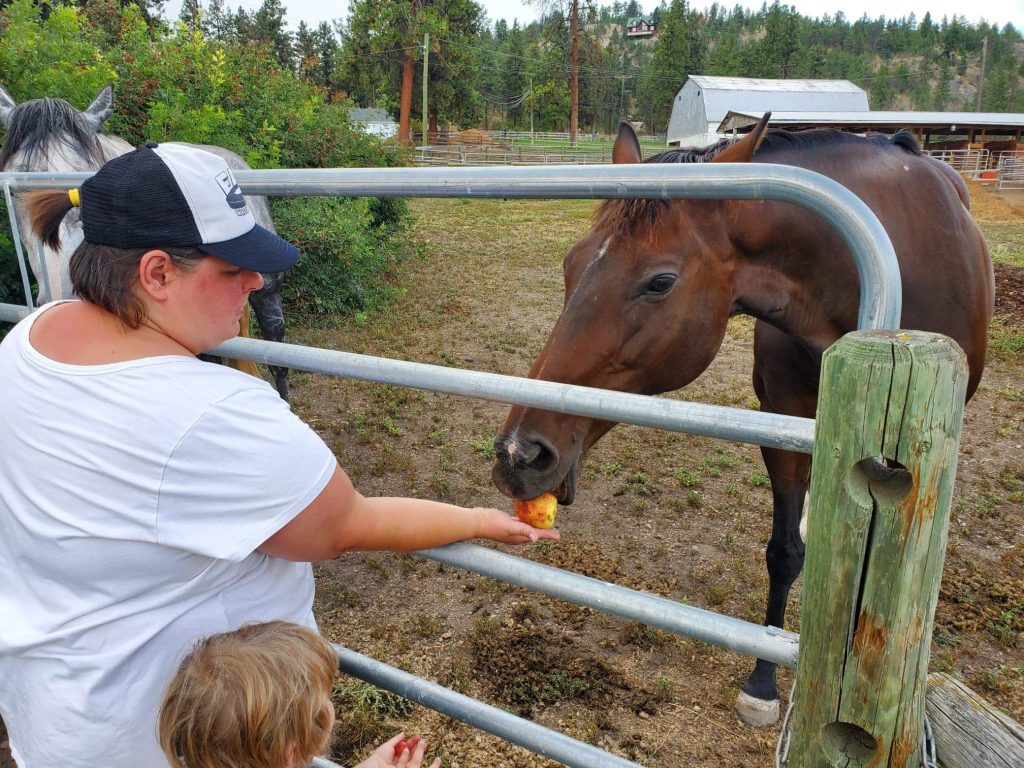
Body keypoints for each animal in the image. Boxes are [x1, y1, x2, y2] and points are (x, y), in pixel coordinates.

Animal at [489, 115, 991, 729]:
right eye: (570, 264)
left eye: (660, 281)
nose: (518, 455)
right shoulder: (781, 420)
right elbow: (784, 551)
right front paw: (764, 679)